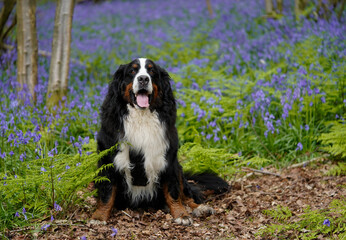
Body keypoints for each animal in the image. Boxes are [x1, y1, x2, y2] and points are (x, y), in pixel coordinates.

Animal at [90, 57, 228, 225]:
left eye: (152, 71)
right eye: (132, 71)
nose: (143, 79)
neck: (142, 119)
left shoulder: (169, 161)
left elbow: (173, 192)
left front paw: (181, 214)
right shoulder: (108, 160)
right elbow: (107, 192)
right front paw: (99, 216)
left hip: (179, 170)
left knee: (187, 194)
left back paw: (199, 208)